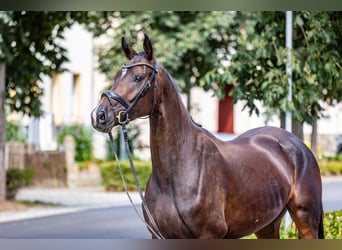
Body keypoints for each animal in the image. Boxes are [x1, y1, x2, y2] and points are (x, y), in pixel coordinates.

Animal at [91, 34, 324, 239]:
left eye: (138, 77)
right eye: (116, 76)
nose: (99, 115)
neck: (179, 171)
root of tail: (299, 146)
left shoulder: (210, 234)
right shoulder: (159, 236)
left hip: (305, 219)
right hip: (267, 225)